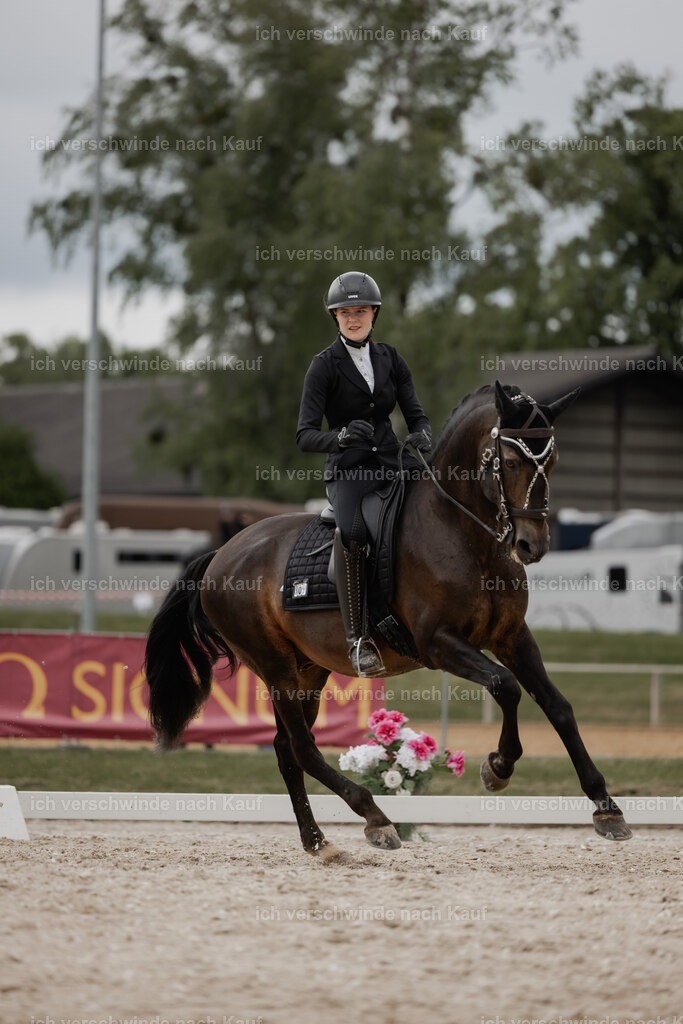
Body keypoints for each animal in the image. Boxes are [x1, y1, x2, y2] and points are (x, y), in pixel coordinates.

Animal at [144, 381, 632, 852]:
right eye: (510, 461)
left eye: (552, 461)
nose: (533, 545)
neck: (465, 534)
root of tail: (220, 555)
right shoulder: (438, 643)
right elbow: (505, 686)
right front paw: (498, 767)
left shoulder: (512, 636)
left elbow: (558, 706)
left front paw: (606, 808)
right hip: (273, 665)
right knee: (302, 747)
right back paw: (374, 818)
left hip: (309, 669)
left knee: (286, 749)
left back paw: (317, 841)